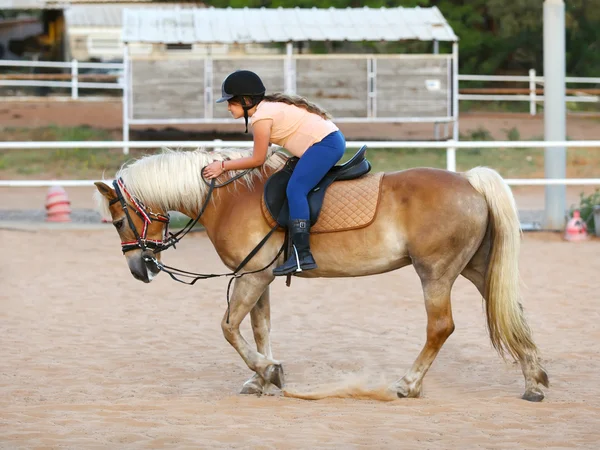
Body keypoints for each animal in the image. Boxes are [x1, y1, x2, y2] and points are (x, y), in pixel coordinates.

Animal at [94, 147, 548, 400]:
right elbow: (259, 328)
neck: (228, 199)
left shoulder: (252, 277)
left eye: (117, 222)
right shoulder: (260, 278)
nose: (139, 270)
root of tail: (470, 182)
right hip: (476, 268)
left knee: (440, 327)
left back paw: (408, 384)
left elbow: (228, 328)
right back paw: (533, 382)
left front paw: (267, 373)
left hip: (435, 274)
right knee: (515, 315)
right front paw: (262, 378)